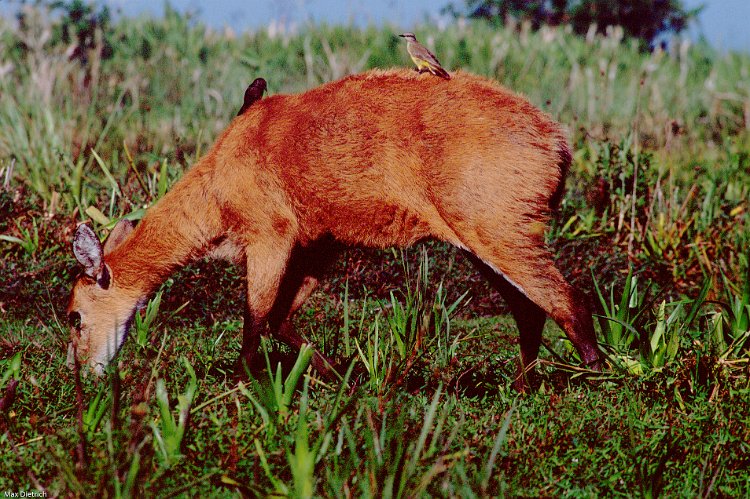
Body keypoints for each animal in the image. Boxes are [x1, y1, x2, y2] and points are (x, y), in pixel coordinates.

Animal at [66, 69, 604, 390]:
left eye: (74, 316)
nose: (81, 376)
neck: (216, 185)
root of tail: (558, 141)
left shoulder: (270, 235)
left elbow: (255, 318)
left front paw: (242, 384)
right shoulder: (315, 247)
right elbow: (280, 319)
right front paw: (341, 378)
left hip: (499, 231)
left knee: (568, 299)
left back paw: (598, 379)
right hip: (482, 239)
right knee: (530, 309)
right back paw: (523, 384)